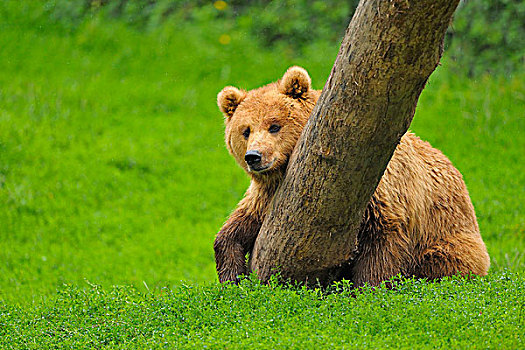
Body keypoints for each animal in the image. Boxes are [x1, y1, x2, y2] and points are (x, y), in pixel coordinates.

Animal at [212, 66, 488, 288]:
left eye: (274, 126)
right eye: (245, 130)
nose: (254, 157)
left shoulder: (379, 192)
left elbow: (382, 244)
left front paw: (367, 288)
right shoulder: (268, 197)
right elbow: (234, 230)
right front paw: (232, 278)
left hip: (449, 233)